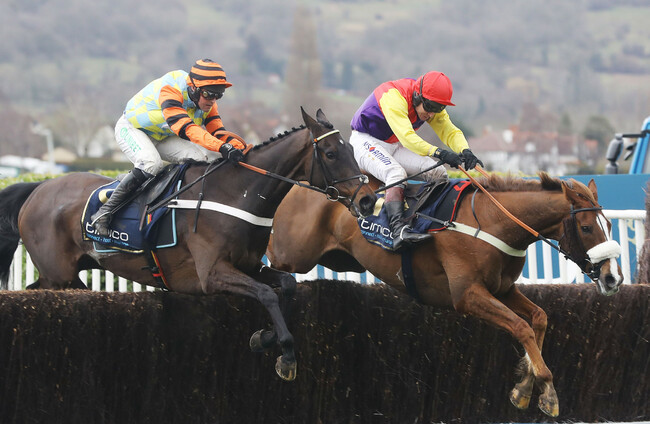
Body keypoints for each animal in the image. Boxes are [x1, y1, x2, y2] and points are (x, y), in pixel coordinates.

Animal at [0, 108, 377, 381]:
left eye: (349, 149)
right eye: (330, 153)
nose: (368, 199)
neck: (237, 193)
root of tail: (37, 187)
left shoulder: (249, 265)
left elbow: (285, 285)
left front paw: (265, 336)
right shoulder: (211, 274)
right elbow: (267, 295)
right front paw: (285, 353)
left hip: (62, 275)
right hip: (61, 276)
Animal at [266, 172, 623, 416]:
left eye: (609, 224)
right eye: (587, 228)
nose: (613, 278)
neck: (493, 222)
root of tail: (306, 182)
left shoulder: (502, 289)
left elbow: (539, 317)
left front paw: (524, 386)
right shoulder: (467, 295)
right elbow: (521, 327)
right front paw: (546, 390)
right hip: (293, 253)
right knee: (269, 264)